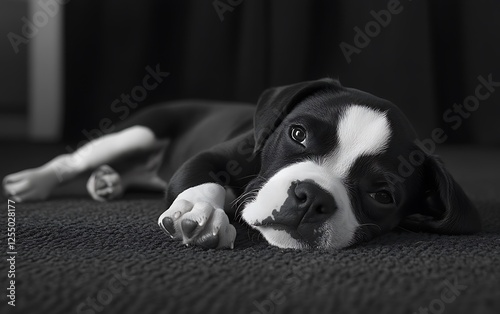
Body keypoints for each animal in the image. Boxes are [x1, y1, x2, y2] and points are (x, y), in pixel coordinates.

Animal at [2, 78, 480, 250]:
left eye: (382, 195)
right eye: (297, 134)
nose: (310, 198)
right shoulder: (208, 157)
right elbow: (204, 183)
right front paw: (201, 212)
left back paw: (107, 182)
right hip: (141, 129)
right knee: (73, 158)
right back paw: (33, 181)